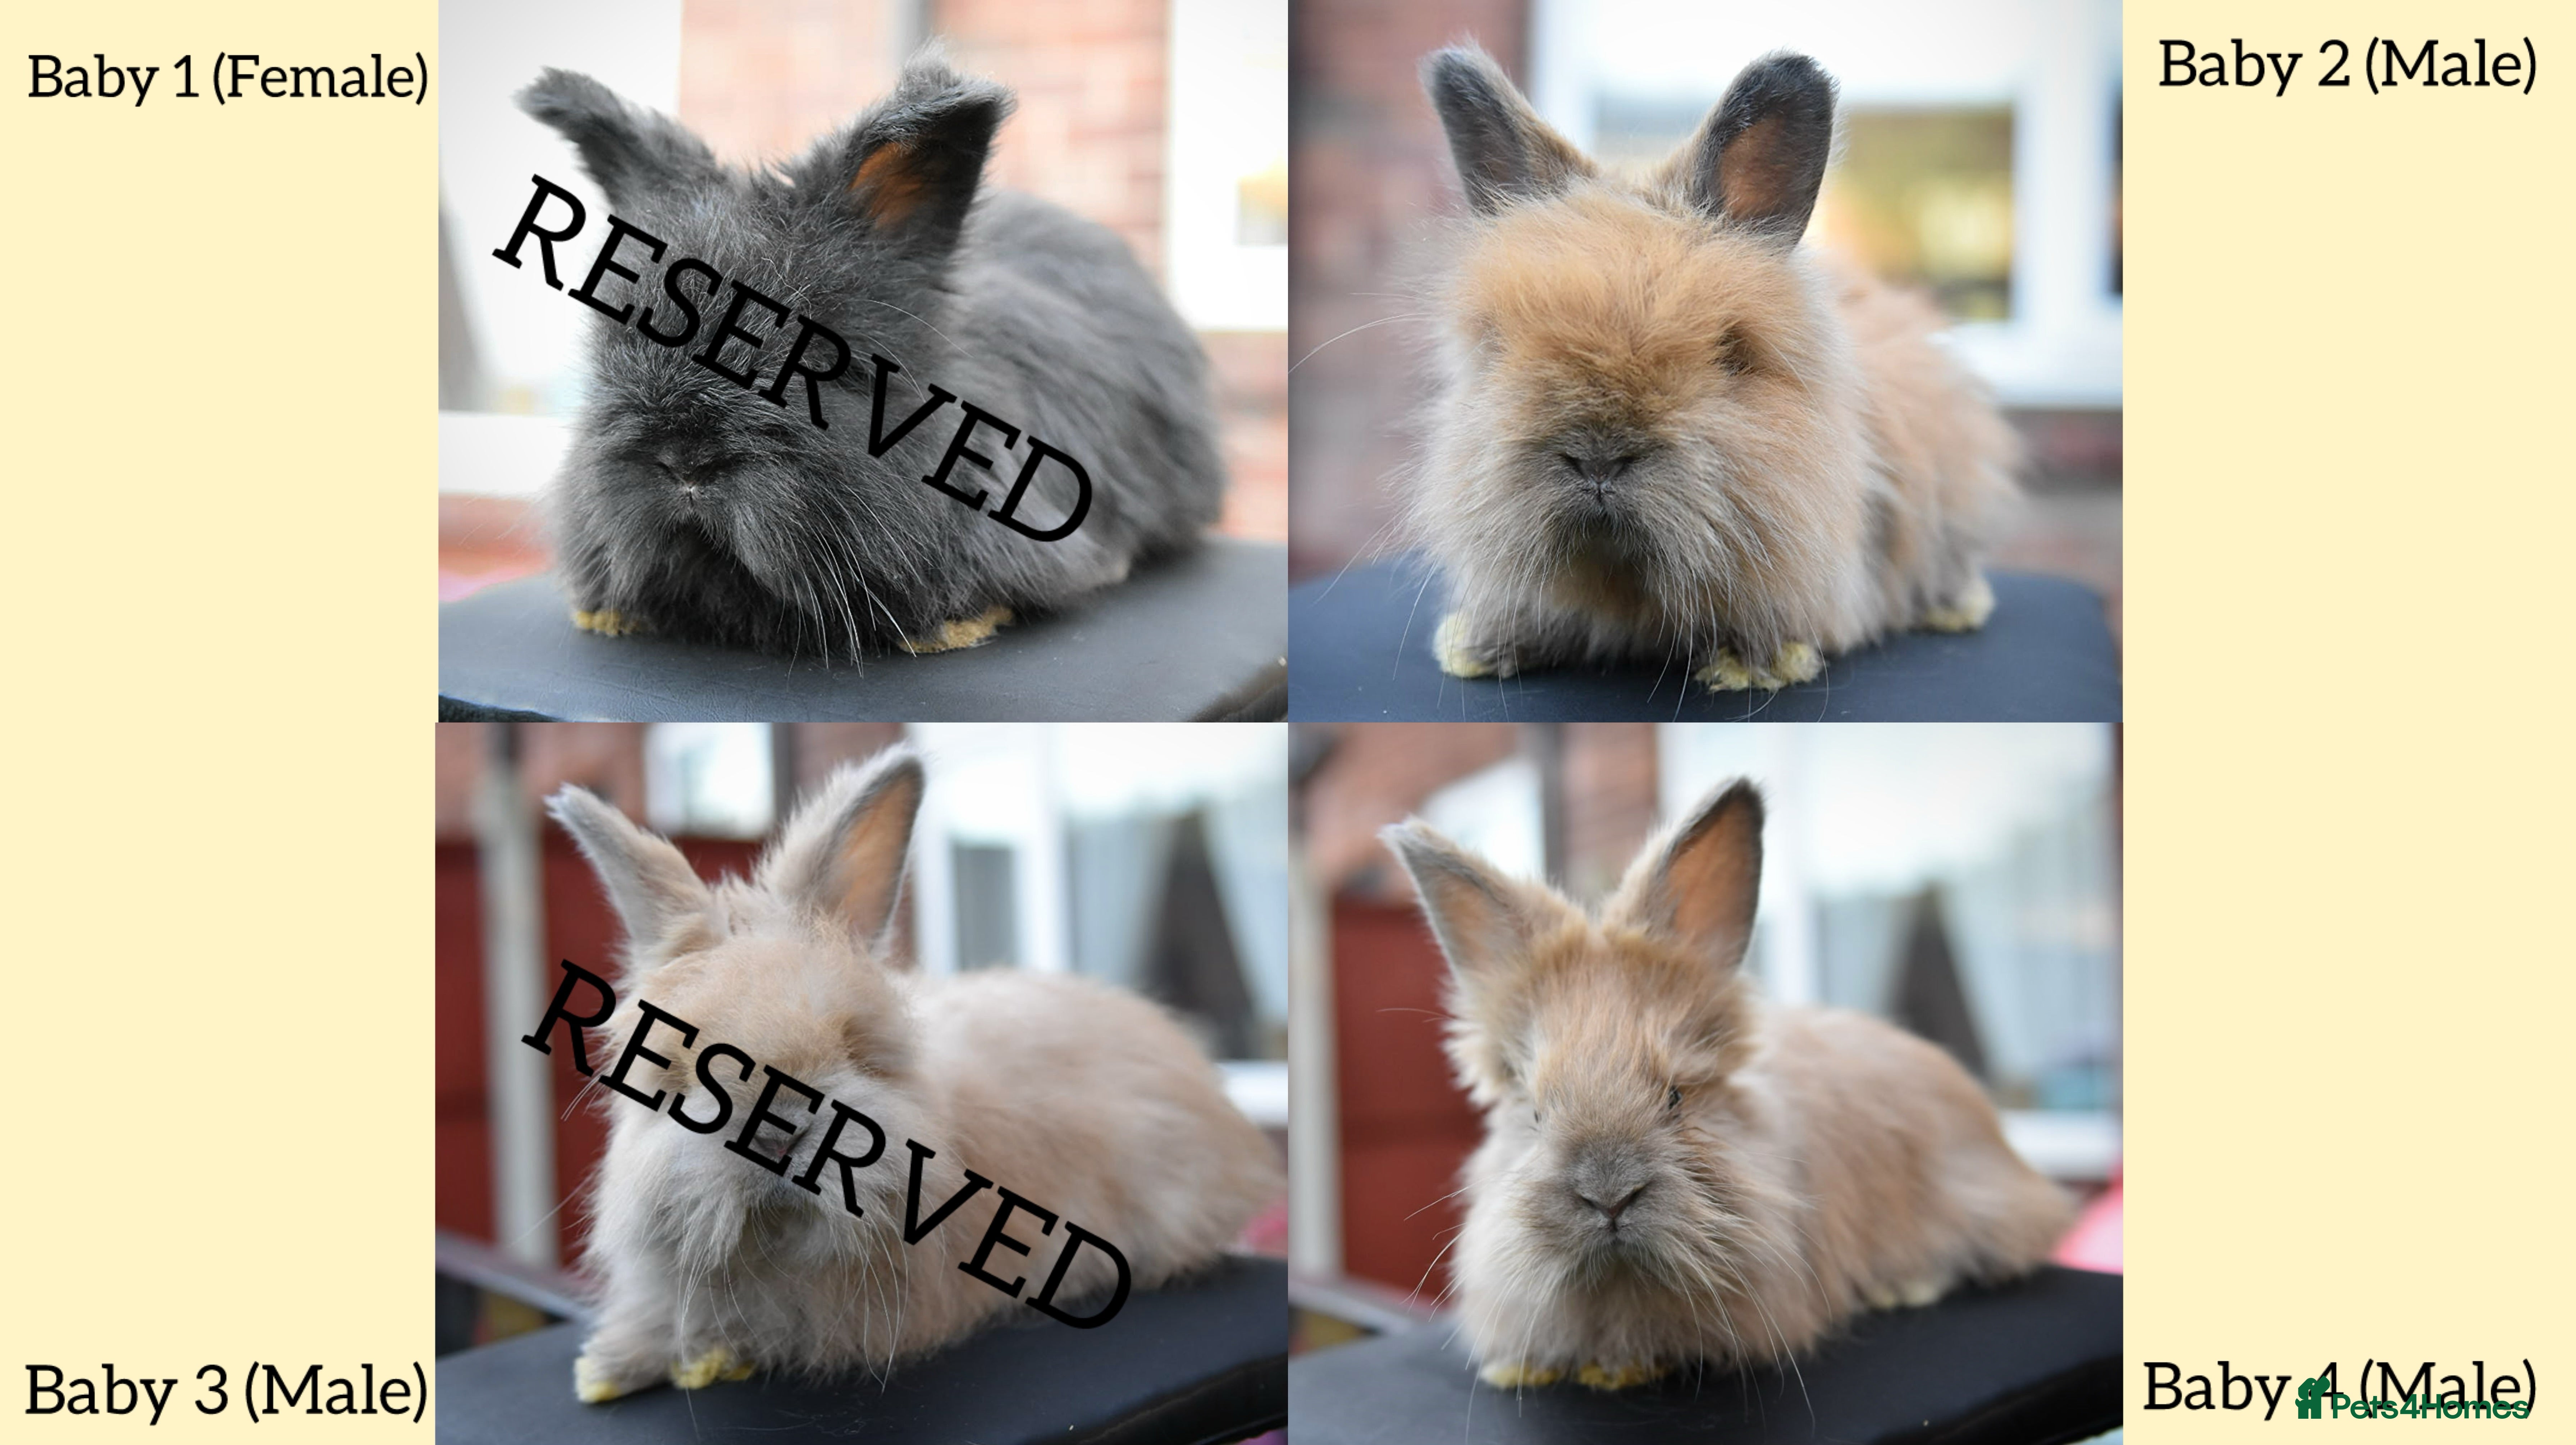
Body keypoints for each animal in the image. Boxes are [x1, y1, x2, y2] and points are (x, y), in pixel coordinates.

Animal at [1405, 46, 2018, 692]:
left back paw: (1955, 608)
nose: (1597, 460)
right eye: (1497, 345)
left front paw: (1751, 665)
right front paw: (1478, 646)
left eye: (1730, 353)